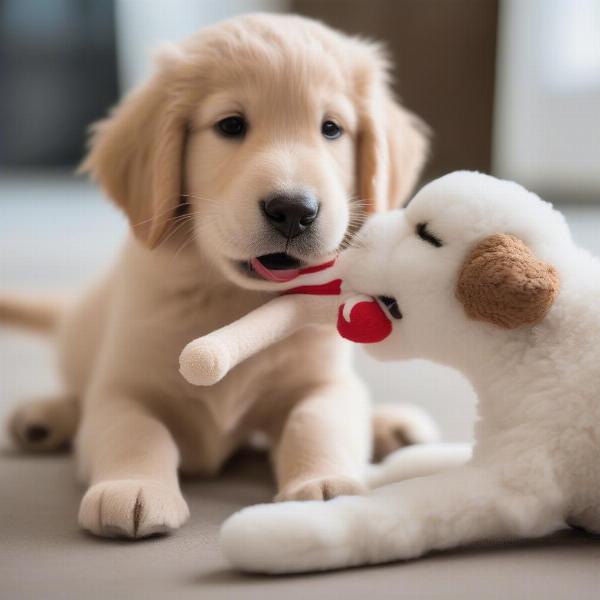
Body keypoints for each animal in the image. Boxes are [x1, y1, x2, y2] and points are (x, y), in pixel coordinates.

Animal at [7, 15, 434, 540]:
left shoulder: (323, 379)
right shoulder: (125, 383)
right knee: (79, 393)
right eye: (231, 125)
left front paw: (325, 483)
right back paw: (43, 418)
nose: (294, 211)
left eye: (331, 128)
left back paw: (391, 423)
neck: (235, 299)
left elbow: (316, 419)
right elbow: (133, 429)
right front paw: (132, 486)